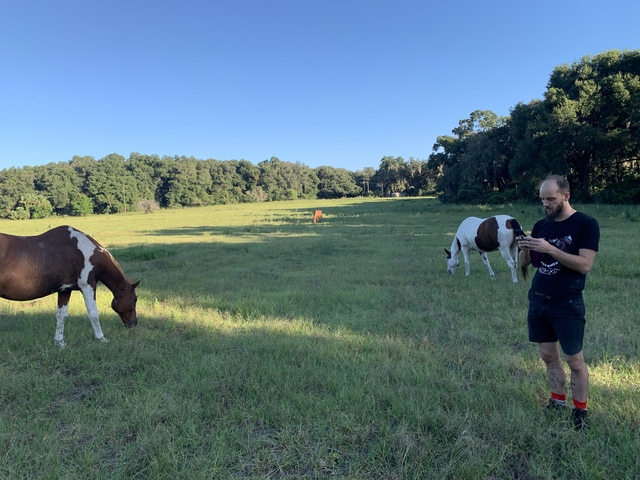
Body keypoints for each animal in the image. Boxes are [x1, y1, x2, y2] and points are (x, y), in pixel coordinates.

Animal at [0, 227, 140, 346]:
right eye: (135, 299)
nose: (134, 323)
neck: (86, 251)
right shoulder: (88, 286)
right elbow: (93, 314)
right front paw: (101, 338)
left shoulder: (65, 290)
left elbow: (61, 315)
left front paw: (60, 343)